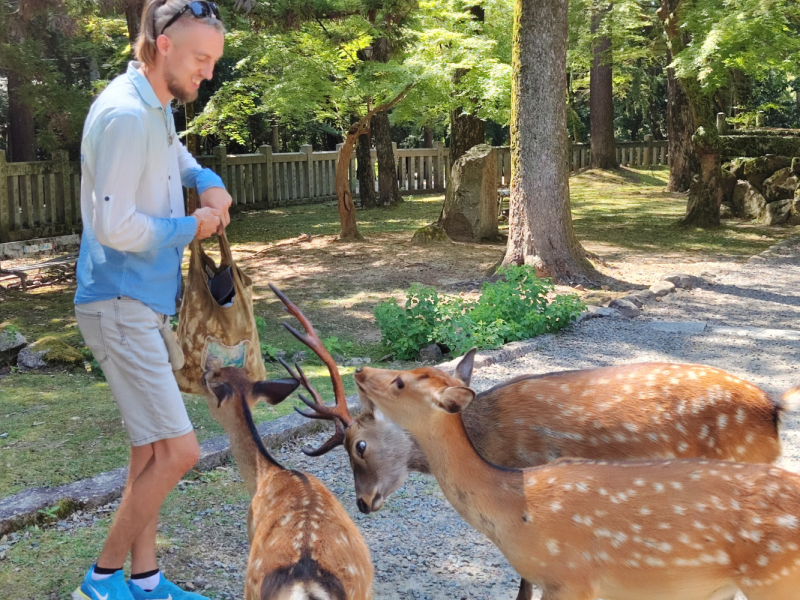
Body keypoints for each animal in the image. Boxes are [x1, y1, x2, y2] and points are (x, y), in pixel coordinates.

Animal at [200, 366, 376, 600]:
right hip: (363, 591)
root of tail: (306, 586)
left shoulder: (250, 526)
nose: (202, 372)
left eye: (206, 380)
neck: (266, 475)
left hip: (252, 588)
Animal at [354, 364, 800, 600]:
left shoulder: (572, 579)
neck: (514, 509)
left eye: (399, 381)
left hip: (774, 580)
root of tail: (774, 406)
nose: (359, 369)